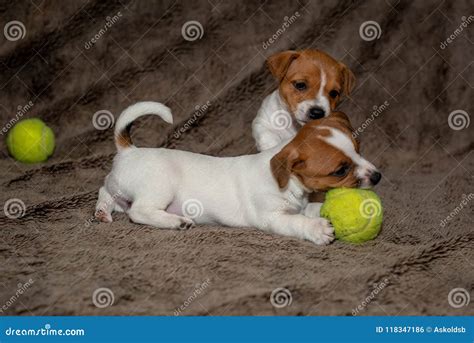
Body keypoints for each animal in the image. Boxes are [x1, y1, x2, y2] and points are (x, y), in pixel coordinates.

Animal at [96, 101, 382, 246]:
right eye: (340, 170)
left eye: (359, 149)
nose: (378, 176)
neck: (287, 183)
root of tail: (128, 150)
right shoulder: (271, 218)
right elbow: (296, 222)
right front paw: (316, 229)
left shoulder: (300, 205)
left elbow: (311, 209)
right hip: (159, 187)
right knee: (137, 212)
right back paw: (175, 221)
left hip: (118, 188)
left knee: (105, 191)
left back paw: (101, 212)